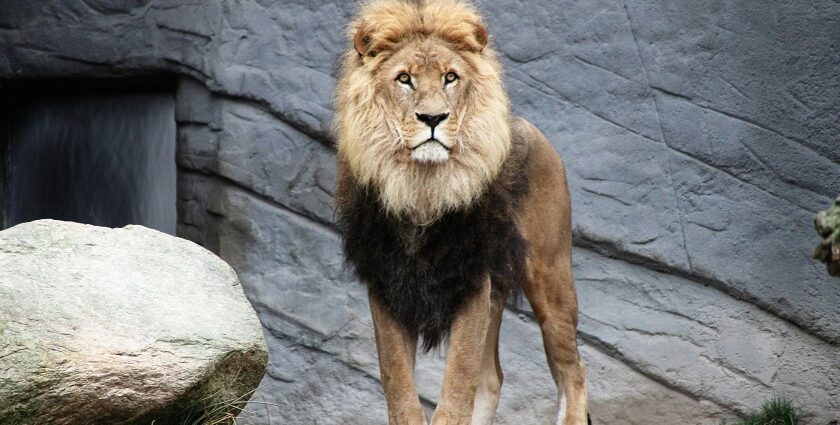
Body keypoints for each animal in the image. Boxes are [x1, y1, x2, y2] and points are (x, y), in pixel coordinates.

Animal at [332, 0, 588, 424]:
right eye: (404, 79)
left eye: (450, 77)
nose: (433, 118)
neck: (422, 188)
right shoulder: (387, 285)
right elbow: (400, 388)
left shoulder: (471, 279)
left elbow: (457, 386)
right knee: (492, 379)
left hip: (550, 275)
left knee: (573, 371)